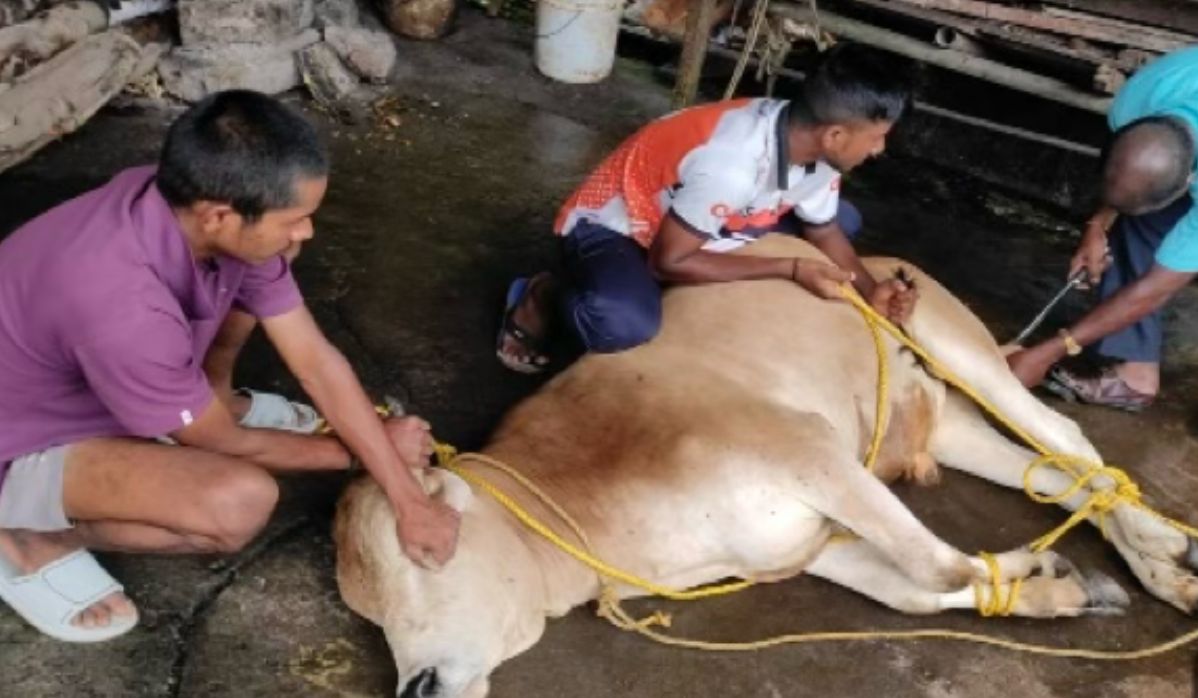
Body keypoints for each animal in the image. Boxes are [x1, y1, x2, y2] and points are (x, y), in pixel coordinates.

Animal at [334, 235, 1198, 698]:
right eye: (368, 613)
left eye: (423, 554)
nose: (416, 686)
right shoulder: (801, 543)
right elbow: (912, 591)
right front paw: (1053, 588)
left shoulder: (806, 448)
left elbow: (935, 564)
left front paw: (1036, 573)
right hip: (948, 424)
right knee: (1058, 475)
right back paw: (1164, 565)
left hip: (957, 345)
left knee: (1066, 436)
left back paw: (1166, 550)